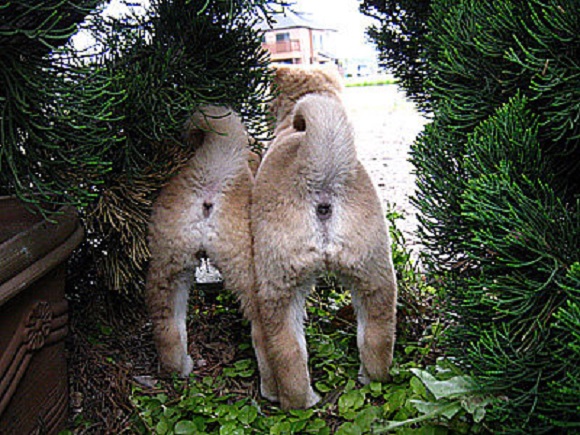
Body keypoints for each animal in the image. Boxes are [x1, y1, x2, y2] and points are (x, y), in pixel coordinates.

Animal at [145, 106, 269, 378]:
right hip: (248, 272)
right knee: (267, 338)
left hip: (168, 265)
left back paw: (179, 368)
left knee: (167, 327)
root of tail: (214, 164)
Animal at [252, 66, 398, 409]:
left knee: (288, 354)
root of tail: (321, 174)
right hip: (375, 276)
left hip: (277, 290)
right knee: (376, 340)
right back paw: (370, 380)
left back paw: (299, 402)